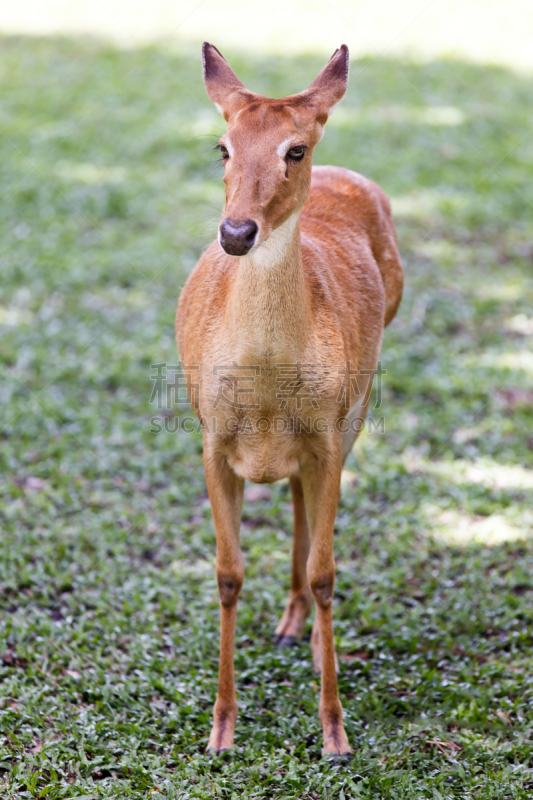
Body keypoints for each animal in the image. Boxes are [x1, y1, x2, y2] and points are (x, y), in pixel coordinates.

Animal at [176, 42, 404, 756]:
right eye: (222, 147)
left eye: (294, 149)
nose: (237, 232)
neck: (268, 392)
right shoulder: (211, 438)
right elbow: (227, 573)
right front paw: (221, 728)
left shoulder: (329, 435)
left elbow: (329, 571)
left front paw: (335, 732)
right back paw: (287, 623)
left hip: (358, 405)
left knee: (307, 509)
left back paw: (298, 628)